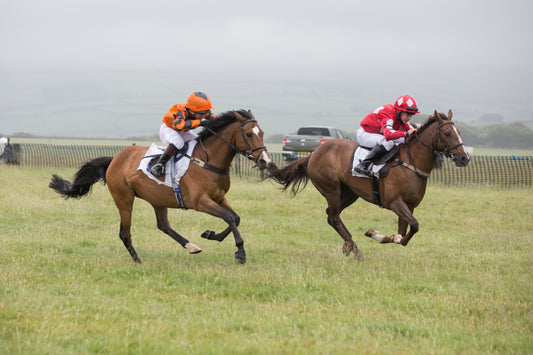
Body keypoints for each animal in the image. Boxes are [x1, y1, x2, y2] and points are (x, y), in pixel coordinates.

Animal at [48, 110, 274, 264]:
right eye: (249, 134)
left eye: (262, 132)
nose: (265, 161)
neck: (208, 161)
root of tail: (114, 159)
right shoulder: (201, 202)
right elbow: (229, 218)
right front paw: (240, 253)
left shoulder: (219, 197)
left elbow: (235, 218)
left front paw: (211, 235)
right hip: (124, 199)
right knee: (124, 232)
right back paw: (137, 260)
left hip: (157, 199)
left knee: (163, 225)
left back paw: (191, 246)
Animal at [268, 110, 468, 260]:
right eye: (447, 133)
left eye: (459, 132)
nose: (464, 158)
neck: (410, 163)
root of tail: (313, 153)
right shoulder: (395, 203)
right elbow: (413, 227)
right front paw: (376, 234)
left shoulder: (409, 206)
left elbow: (403, 235)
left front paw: (377, 234)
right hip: (331, 189)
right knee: (334, 217)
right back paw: (355, 250)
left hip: (350, 193)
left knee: (331, 216)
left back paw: (349, 246)